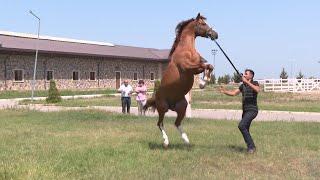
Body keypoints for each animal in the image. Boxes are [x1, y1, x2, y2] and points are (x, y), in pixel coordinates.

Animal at [144, 13, 218, 148]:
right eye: (203, 24)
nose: (215, 34)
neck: (186, 49)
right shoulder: (188, 68)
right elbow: (206, 65)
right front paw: (202, 83)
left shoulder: (196, 68)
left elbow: (209, 66)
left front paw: (203, 82)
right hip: (162, 108)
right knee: (160, 123)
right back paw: (166, 141)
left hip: (182, 107)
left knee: (176, 123)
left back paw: (186, 140)